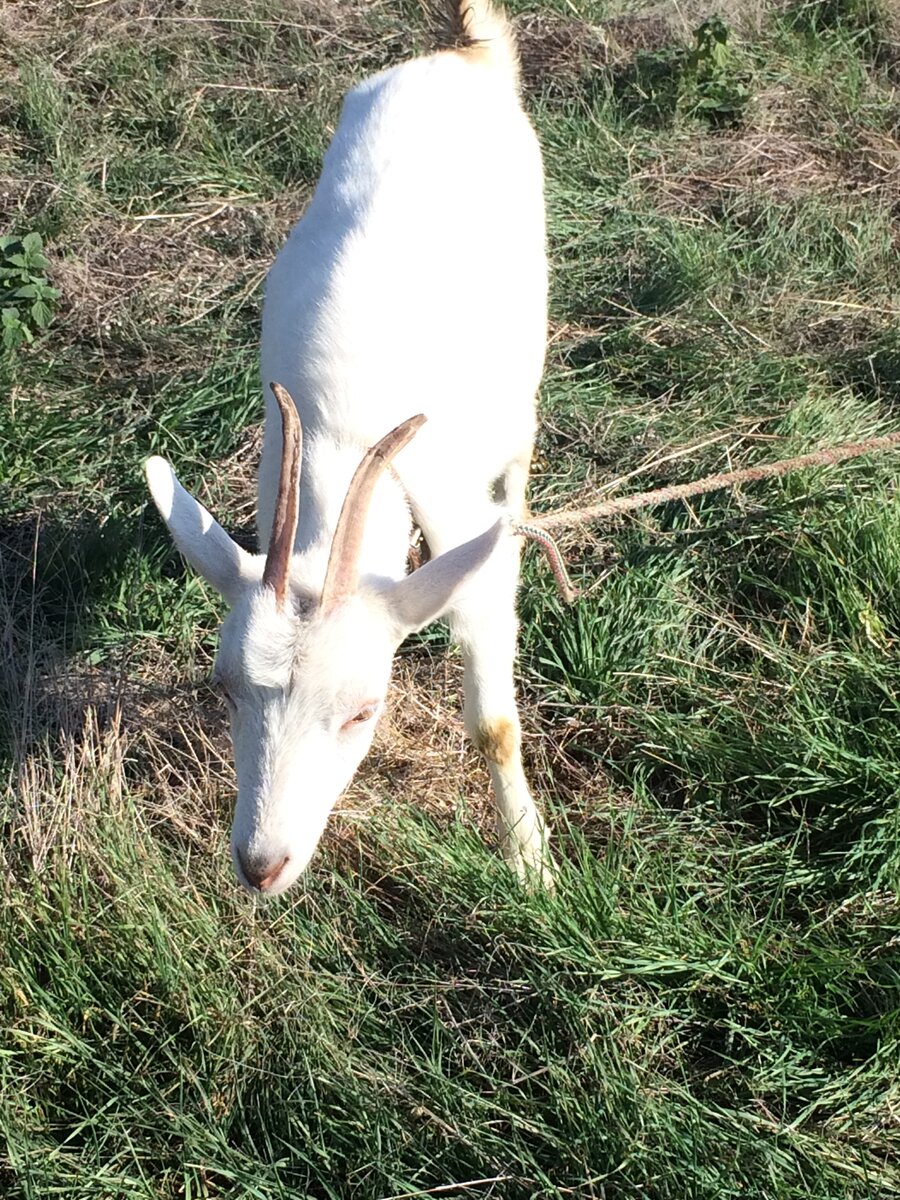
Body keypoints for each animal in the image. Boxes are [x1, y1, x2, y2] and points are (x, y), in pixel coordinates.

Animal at [144, 0, 554, 897]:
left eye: (364, 711)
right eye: (225, 690)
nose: (261, 865)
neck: (343, 441)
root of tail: (462, 54)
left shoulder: (463, 555)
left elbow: (494, 722)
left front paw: (531, 862)